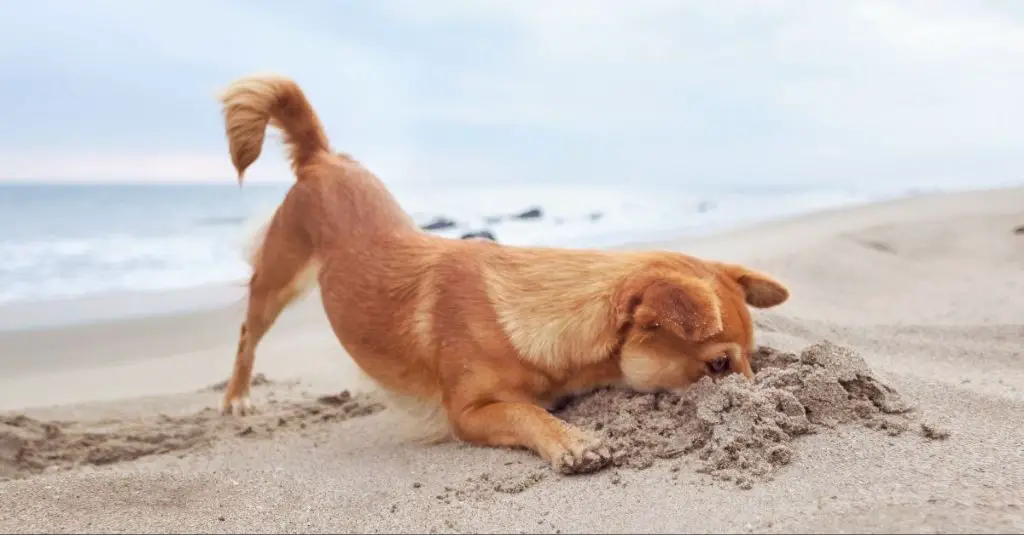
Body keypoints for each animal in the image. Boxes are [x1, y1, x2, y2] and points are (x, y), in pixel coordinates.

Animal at [218, 72, 790, 473]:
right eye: (718, 365)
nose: (764, 405)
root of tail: (322, 159)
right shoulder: (468, 413)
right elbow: (527, 412)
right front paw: (571, 441)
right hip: (279, 280)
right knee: (246, 333)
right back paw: (237, 397)